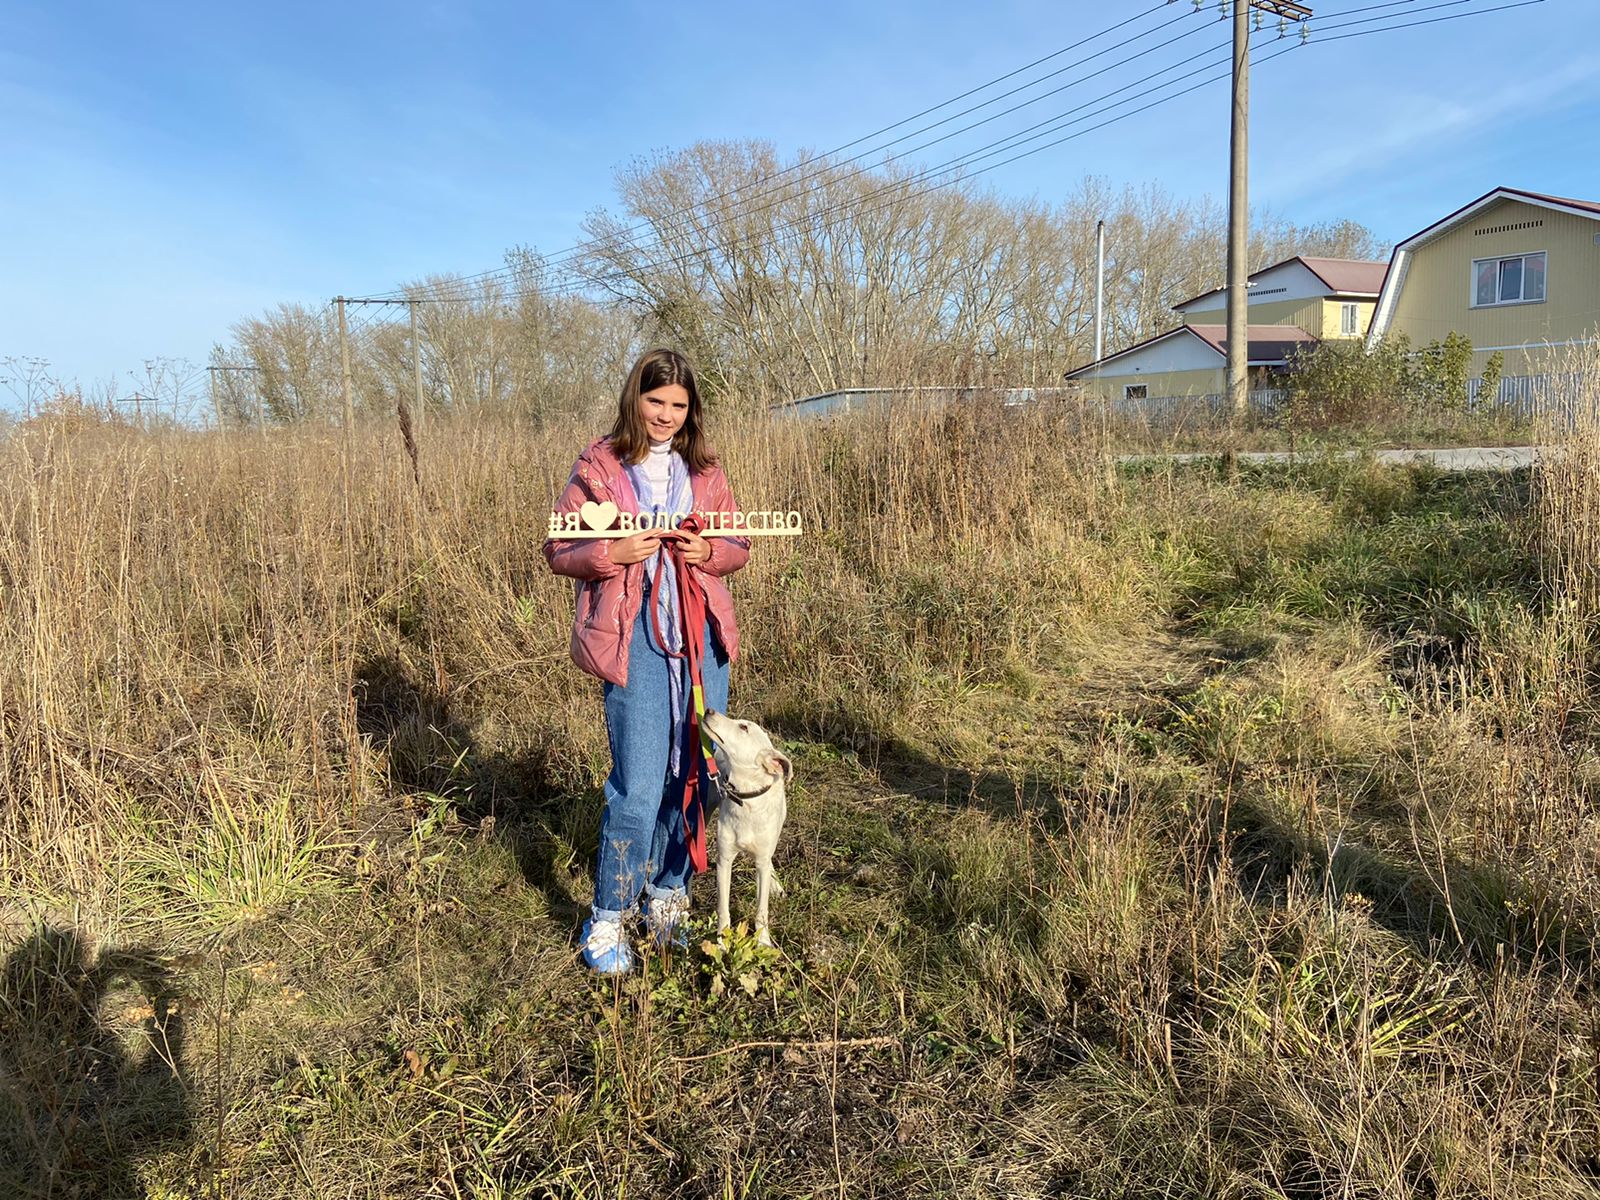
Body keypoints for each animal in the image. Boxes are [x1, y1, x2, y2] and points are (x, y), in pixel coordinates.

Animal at [707, 713, 793, 947]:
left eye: (743, 727)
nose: (709, 711)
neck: (746, 799)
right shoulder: (724, 860)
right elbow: (723, 908)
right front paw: (722, 941)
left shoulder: (761, 862)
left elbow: (762, 909)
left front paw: (763, 941)